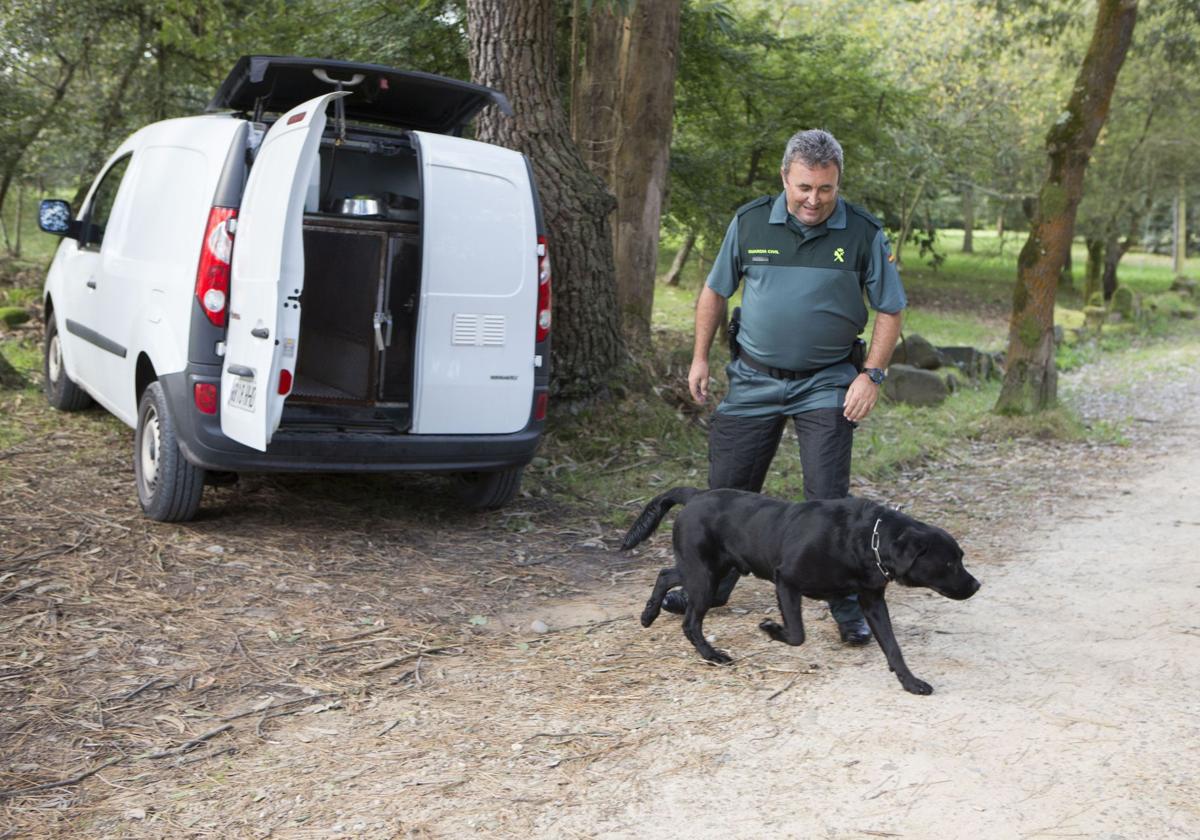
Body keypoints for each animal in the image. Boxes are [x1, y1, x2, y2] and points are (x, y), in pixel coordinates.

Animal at [624, 484, 979, 696]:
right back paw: (712, 655)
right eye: (949, 563)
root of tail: (695, 494)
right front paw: (770, 629)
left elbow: (893, 648)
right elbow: (797, 634)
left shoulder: (873, 601)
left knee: (666, 574)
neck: (868, 540)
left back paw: (648, 615)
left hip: (708, 571)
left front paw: (910, 682)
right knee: (689, 620)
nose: (976, 584)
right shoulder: (786, 581)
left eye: (960, 558)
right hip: (705, 576)